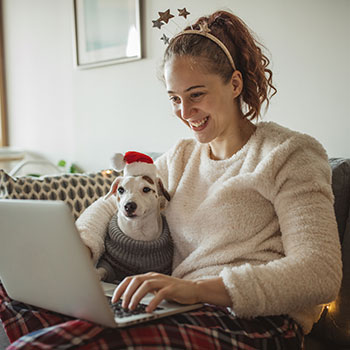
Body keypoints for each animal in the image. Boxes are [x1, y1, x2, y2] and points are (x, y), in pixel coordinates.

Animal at [95, 152, 173, 284]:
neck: (137, 230)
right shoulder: (107, 265)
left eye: (146, 189)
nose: (129, 206)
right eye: (121, 189)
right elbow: (101, 270)